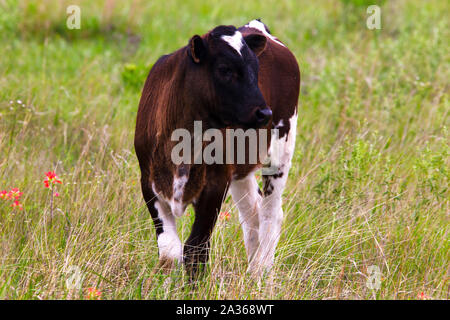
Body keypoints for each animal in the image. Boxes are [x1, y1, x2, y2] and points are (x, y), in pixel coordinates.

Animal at [135, 20, 300, 278]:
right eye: (224, 70)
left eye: (255, 69)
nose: (264, 113)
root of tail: (256, 27)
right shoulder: (148, 182)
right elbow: (169, 253)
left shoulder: (215, 182)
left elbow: (196, 249)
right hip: (241, 169)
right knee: (252, 214)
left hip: (281, 151)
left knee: (270, 214)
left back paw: (261, 272)